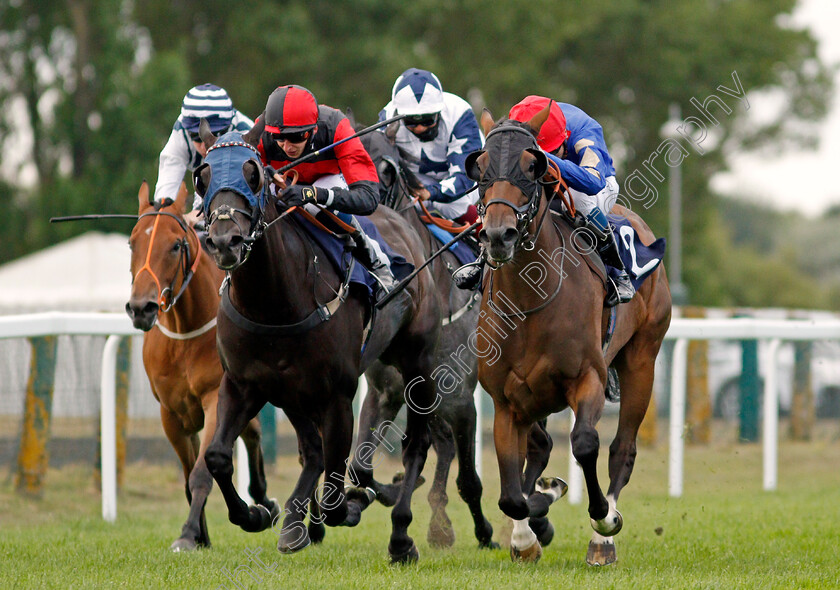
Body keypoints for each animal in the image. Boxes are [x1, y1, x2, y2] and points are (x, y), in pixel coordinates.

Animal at [124, 183, 276, 552]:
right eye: (132, 243)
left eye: (175, 245)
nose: (141, 308)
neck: (186, 334)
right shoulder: (171, 413)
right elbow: (187, 475)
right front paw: (200, 534)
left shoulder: (213, 400)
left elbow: (200, 474)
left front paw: (189, 532)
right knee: (253, 432)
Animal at [194, 119, 442, 564]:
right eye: (202, 176)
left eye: (254, 175)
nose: (225, 242)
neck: (274, 303)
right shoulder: (243, 384)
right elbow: (219, 456)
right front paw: (257, 514)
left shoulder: (337, 393)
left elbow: (335, 482)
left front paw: (352, 503)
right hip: (293, 392)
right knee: (312, 451)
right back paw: (296, 523)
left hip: (419, 361)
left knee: (415, 443)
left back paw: (399, 533)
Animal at [470, 108, 672, 568]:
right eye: (481, 166)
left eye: (532, 166)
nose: (498, 235)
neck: (530, 297)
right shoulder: (506, 400)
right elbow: (511, 492)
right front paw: (526, 534)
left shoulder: (587, 378)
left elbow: (584, 443)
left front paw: (601, 516)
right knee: (540, 448)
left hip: (642, 359)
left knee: (622, 448)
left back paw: (603, 538)